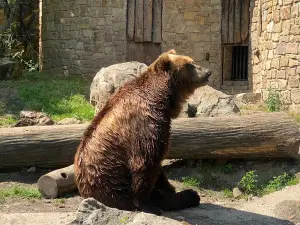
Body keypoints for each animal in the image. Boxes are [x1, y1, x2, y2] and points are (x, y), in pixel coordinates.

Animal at [74, 49, 212, 214]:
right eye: (189, 64)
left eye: (192, 62)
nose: (208, 72)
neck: (161, 98)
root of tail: (85, 190)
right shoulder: (145, 123)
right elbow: (146, 160)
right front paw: (148, 204)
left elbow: (158, 169)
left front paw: (169, 187)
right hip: (112, 184)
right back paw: (190, 195)